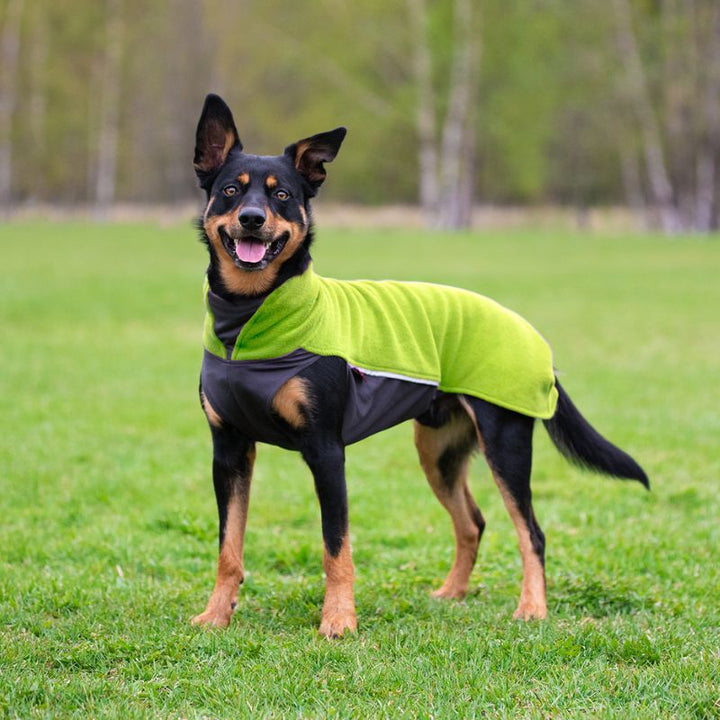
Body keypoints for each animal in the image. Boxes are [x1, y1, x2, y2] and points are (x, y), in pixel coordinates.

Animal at [188, 93, 648, 640]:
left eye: (282, 196)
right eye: (230, 190)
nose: (253, 218)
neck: (250, 318)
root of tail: (532, 336)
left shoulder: (325, 451)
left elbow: (336, 547)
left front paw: (338, 621)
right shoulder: (228, 450)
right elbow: (228, 549)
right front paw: (216, 614)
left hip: (506, 442)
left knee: (531, 532)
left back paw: (532, 608)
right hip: (438, 450)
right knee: (473, 522)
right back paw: (453, 593)